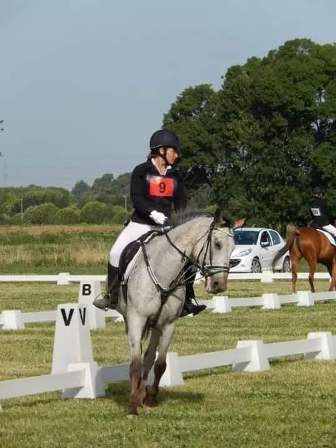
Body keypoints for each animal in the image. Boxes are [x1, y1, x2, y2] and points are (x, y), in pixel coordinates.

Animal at [117, 210, 243, 416]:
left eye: (233, 248)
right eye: (217, 244)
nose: (219, 285)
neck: (163, 272)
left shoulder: (168, 324)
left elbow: (160, 364)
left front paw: (150, 398)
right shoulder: (137, 319)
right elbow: (135, 364)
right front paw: (133, 405)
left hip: (156, 325)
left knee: (149, 357)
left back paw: (142, 392)